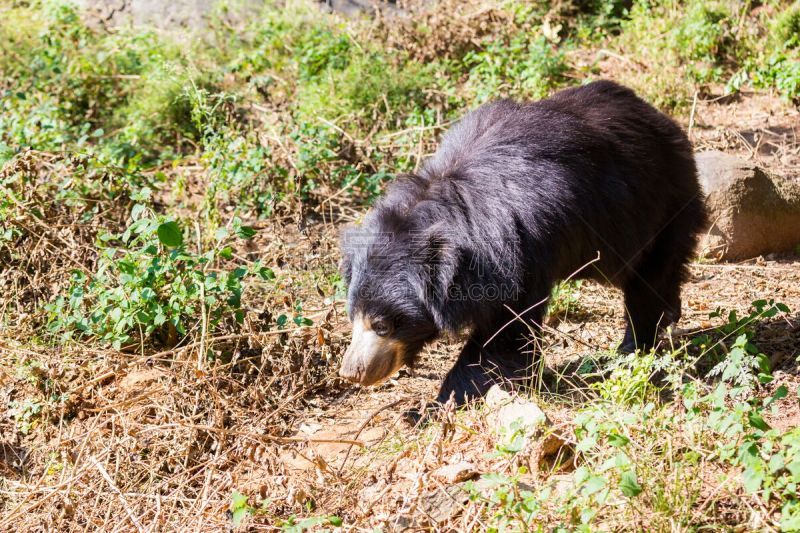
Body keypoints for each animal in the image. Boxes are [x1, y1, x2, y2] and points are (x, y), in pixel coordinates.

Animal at [338, 80, 708, 404]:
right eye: (353, 316)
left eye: (383, 325)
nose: (351, 372)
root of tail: (660, 118)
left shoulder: (518, 254)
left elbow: (504, 334)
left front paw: (435, 405)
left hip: (659, 208)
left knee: (648, 280)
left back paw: (634, 347)